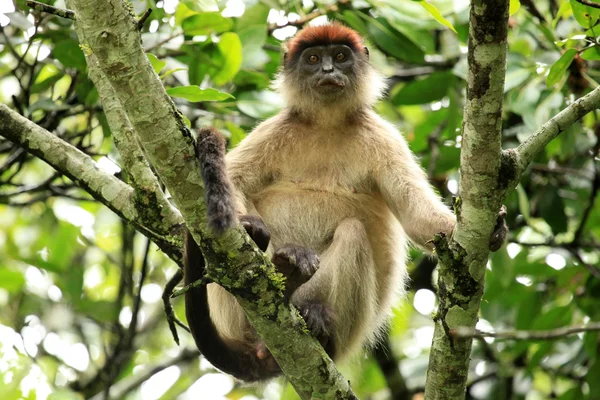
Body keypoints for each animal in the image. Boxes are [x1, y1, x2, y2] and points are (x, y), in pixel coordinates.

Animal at [183, 22, 506, 382]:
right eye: (313, 58)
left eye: (339, 56)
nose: (327, 70)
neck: (327, 124)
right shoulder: (277, 129)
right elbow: (236, 181)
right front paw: (249, 226)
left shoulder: (383, 136)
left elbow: (415, 217)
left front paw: (491, 229)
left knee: (352, 231)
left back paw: (312, 316)